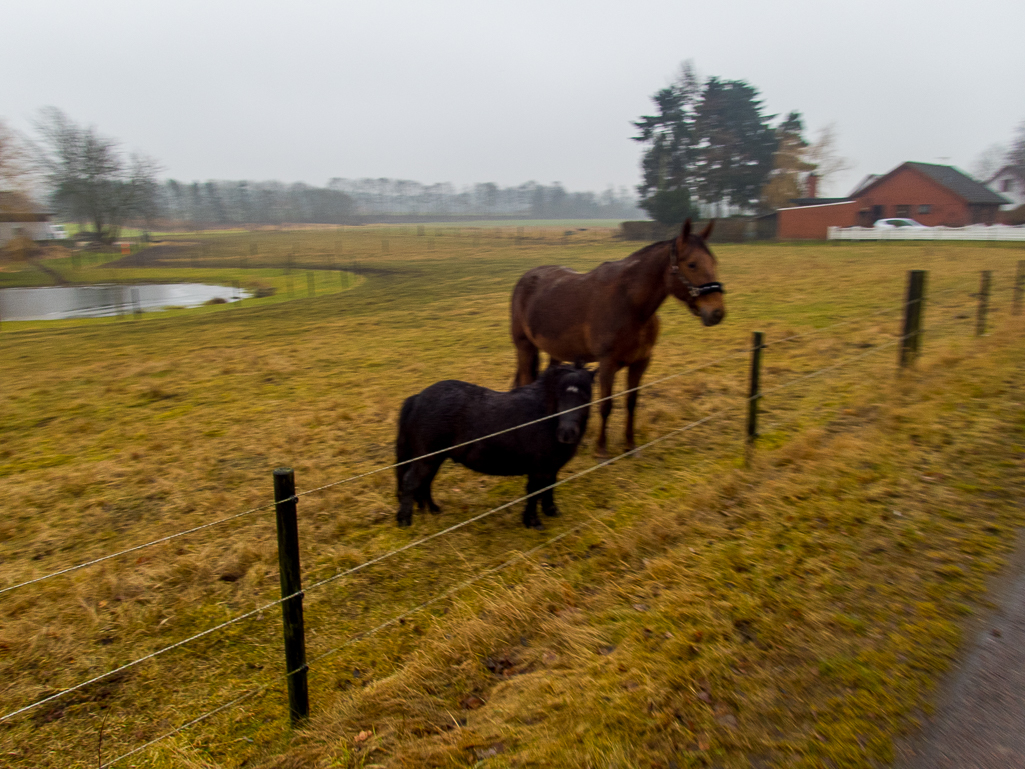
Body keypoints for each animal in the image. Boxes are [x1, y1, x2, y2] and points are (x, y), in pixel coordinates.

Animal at [395, 365, 598, 529]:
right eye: (559, 396)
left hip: (433, 459)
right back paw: (405, 520)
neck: (545, 418)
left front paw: (551, 510)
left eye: (586, 396)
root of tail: (417, 398)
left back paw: (433, 510)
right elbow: (534, 492)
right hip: (428, 459)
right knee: (411, 482)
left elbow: (549, 487)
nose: (567, 433)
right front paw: (532, 522)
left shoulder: (551, 467)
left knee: (425, 483)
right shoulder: (538, 469)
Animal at [510, 219, 721, 455]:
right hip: (525, 347)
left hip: (555, 352)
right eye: (692, 264)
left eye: (713, 262)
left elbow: (631, 402)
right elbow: (606, 405)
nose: (717, 312)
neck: (630, 304)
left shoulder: (640, 362)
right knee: (526, 381)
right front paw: (601, 448)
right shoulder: (607, 364)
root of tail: (526, 279)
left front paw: (630, 445)